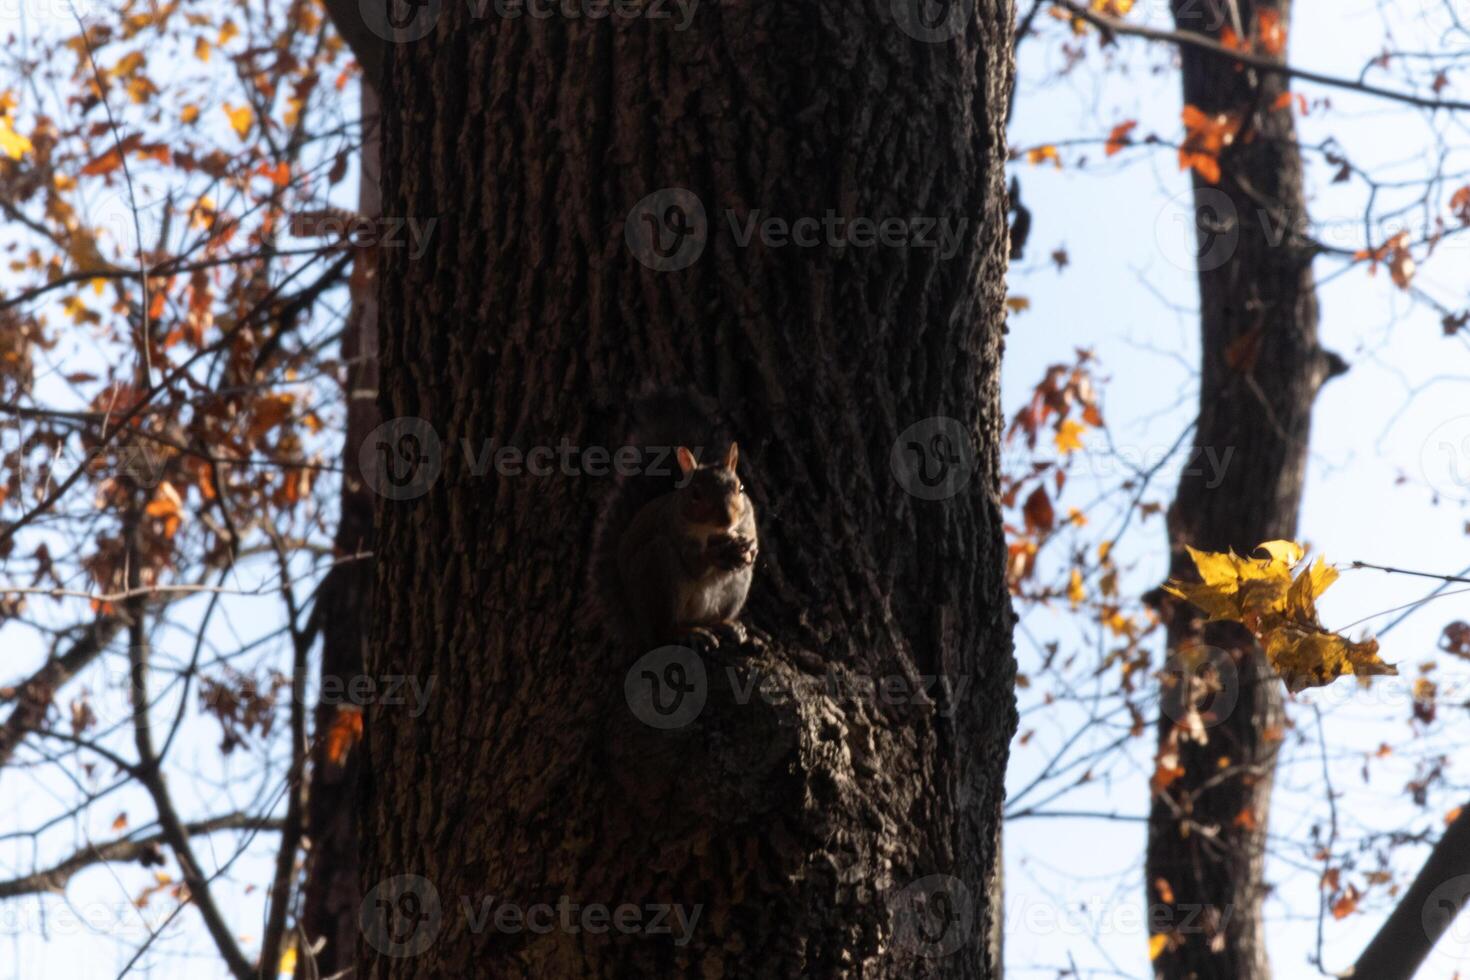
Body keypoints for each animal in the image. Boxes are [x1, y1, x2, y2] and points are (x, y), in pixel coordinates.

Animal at [590, 387, 764, 652]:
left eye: (741, 488)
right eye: (695, 494)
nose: (726, 519)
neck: (713, 532)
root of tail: (638, 623)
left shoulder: (747, 518)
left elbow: (752, 538)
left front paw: (750, 548)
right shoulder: (673, 528)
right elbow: (694, 563)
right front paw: (715, 553)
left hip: (737, 586)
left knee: (712, 618)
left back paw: (726, 625)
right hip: (660, 571)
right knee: (666, 629)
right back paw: (689, 633)